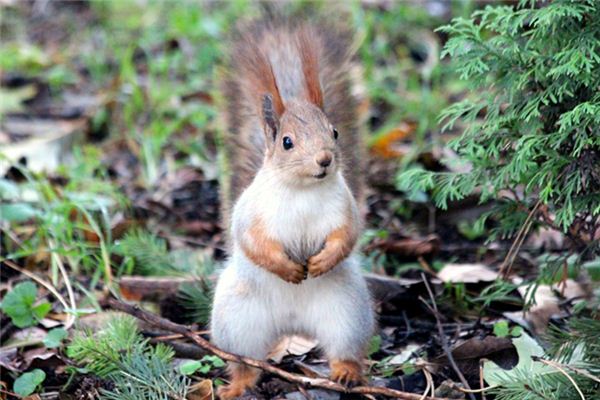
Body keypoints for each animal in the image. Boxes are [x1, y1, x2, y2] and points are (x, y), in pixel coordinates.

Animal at [211, 16, 376, 400]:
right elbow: (253, 242)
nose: (325, 159)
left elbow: (347, 236)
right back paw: (237, 385)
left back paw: (346, 373)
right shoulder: (252, 213)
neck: (303, 190)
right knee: (244, 362)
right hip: (235, 320)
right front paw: (286, 269)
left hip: (347, 313)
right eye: (287, 142)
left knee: (344, 349)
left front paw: (322, 261)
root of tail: (293, 325)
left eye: (334, 132)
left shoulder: (345, 209)